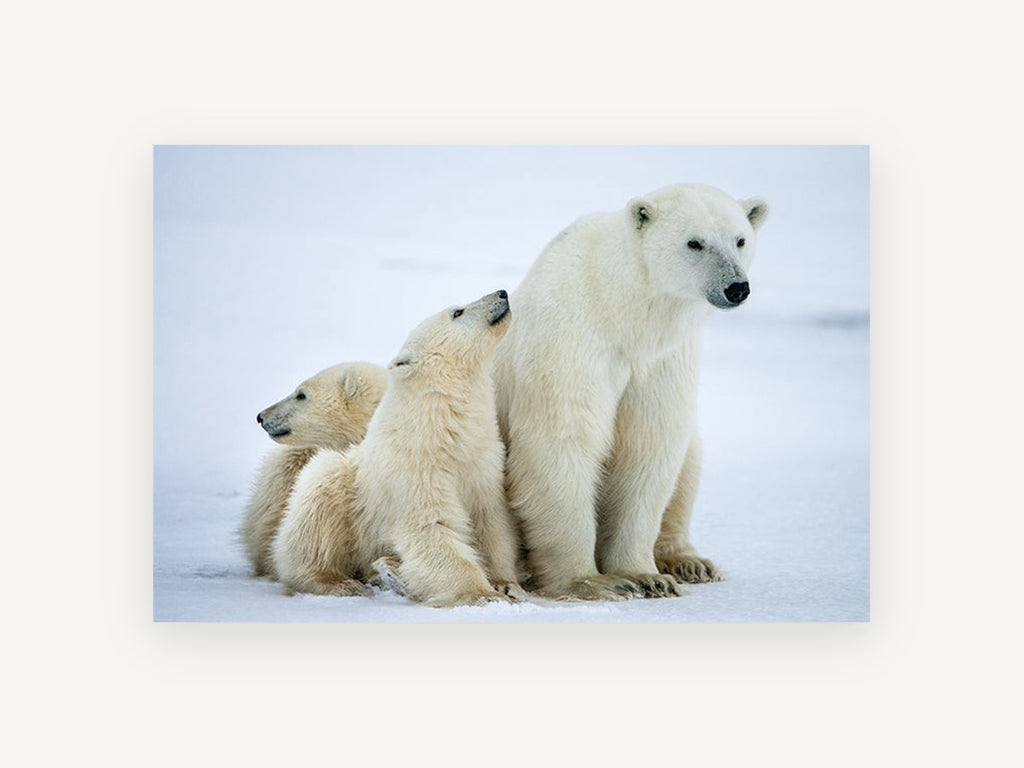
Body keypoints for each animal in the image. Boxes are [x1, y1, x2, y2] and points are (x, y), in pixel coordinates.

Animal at [272, 290, 524, 607]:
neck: (441, 427)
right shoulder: (416, 469)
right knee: (314, 522)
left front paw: (507, 585)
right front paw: (483, 594)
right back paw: (341, 583)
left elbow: (491, 522)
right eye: (457, 312)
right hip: (341, 490)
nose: (501, 293)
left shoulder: (483, 461)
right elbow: (431, 527)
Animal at [493, 183, 768, 601]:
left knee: (689, 460)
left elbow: (648, 447)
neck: (619, 311)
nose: (736, 288)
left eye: (740, 240)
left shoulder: (662, 360)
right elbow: (562, 443)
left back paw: (688, 561)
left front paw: (646, 576)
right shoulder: (572, 342)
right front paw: (592, 581)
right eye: (694, 242)